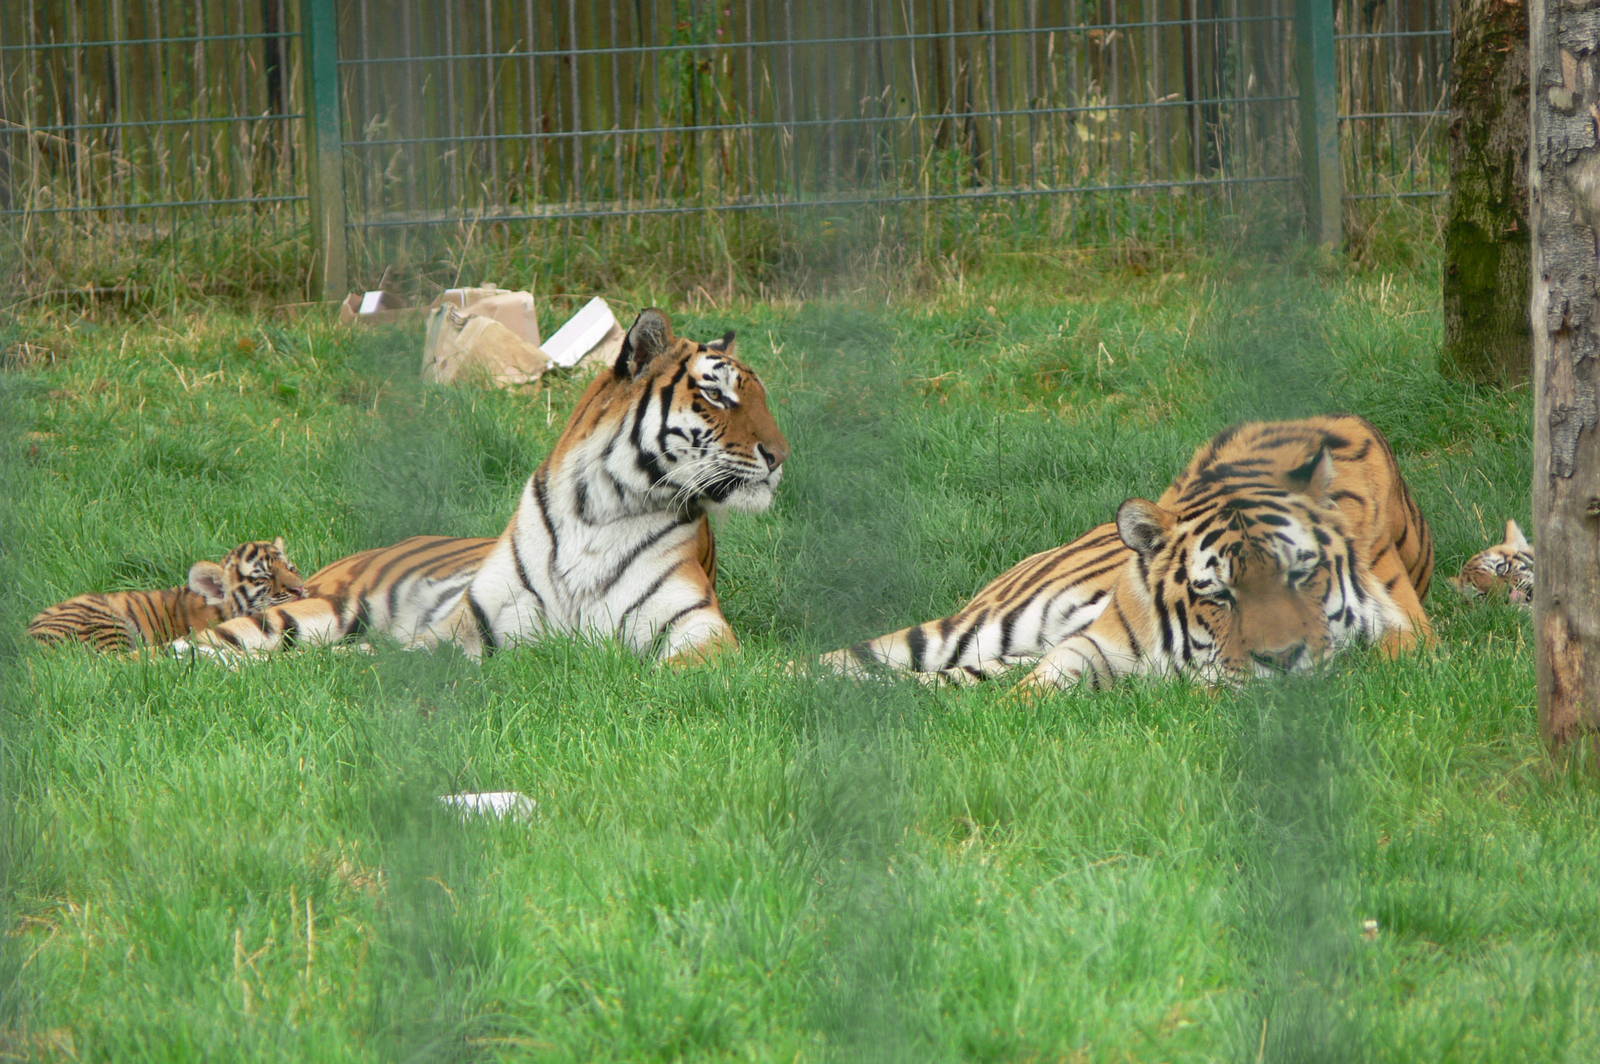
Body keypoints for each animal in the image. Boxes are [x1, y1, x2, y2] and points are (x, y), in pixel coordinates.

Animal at [170, 308, 788, 663]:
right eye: (716, 394)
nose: (781, 457)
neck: (603, 509)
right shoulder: (465, 631)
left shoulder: (694, 624)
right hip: (313, 609)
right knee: (198, 649)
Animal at [818, 414, 1434, 690]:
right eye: (1218, 595)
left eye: (1301, 576)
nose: (1280, 662)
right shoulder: (1096, 642)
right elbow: (1041, 686)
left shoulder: (1410, 634)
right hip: (984, 625)